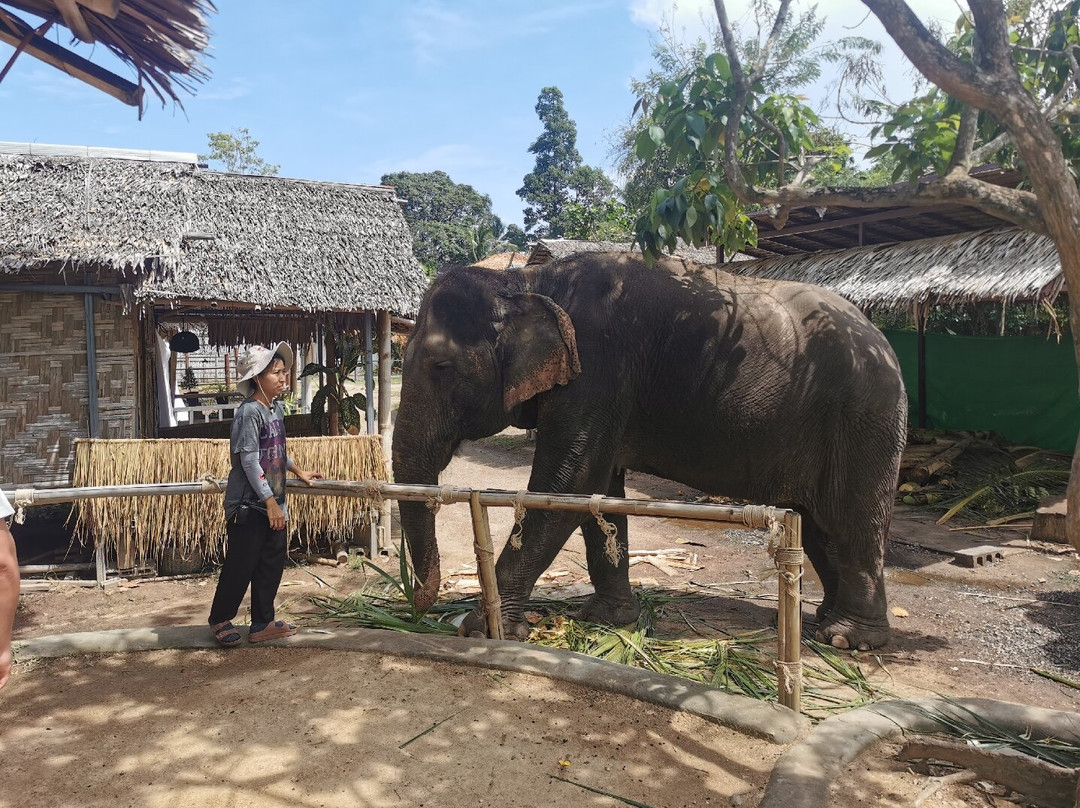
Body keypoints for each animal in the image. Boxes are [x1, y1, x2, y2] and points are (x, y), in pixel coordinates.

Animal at [392, 251, 907, 650]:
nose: (419, 607)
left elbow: (568, 482)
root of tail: (882, 338)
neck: (529, 281)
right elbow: (598, 493)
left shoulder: (598, 367)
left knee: (852, 519)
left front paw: (480, 631)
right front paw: (606, 619)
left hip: (865, 419)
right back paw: (822, 622)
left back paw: (847, 639)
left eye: (441, 366)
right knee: (820, 524)